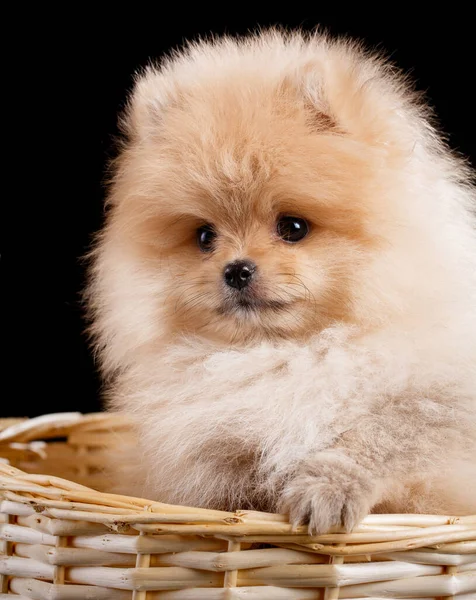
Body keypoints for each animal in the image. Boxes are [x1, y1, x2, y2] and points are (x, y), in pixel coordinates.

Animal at [86, 30, 476, 532]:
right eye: (204, 237)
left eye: (293, 227)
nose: (237, 269)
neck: (285, 353)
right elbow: (225, 477)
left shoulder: (435, 407)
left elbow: (377, 441)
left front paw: (324, 494)